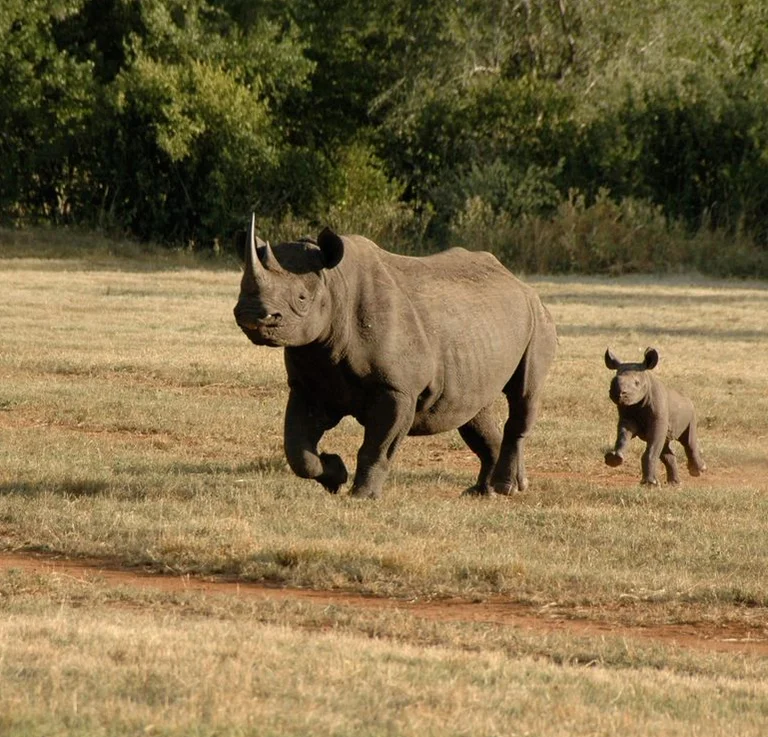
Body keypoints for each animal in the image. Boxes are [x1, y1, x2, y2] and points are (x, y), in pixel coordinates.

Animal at [233, 215, 557, 499]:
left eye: (302, 299)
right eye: (239, 288)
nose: (250, 313)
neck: (335, 286)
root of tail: (518, 281)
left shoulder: (397, 389)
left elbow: (377, 447)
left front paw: (362, 496)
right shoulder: (309, 383)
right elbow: (297, 450)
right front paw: (336, 475)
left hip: (538, 319)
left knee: (523, 395)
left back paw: (505, 488)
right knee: (474, 410)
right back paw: (487, 491)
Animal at [604, 347, 706, 485]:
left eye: (637, 383)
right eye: (613, 379)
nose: (618, 393)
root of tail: (687, 399)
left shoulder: (659, 416)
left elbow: (652, 448)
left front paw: (650, 484)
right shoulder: (627, 416)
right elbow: (623, 436)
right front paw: (613, 460)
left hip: (691, 411)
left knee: (688, 440)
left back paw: (698, 470)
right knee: (665, 447)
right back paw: (674, 484)